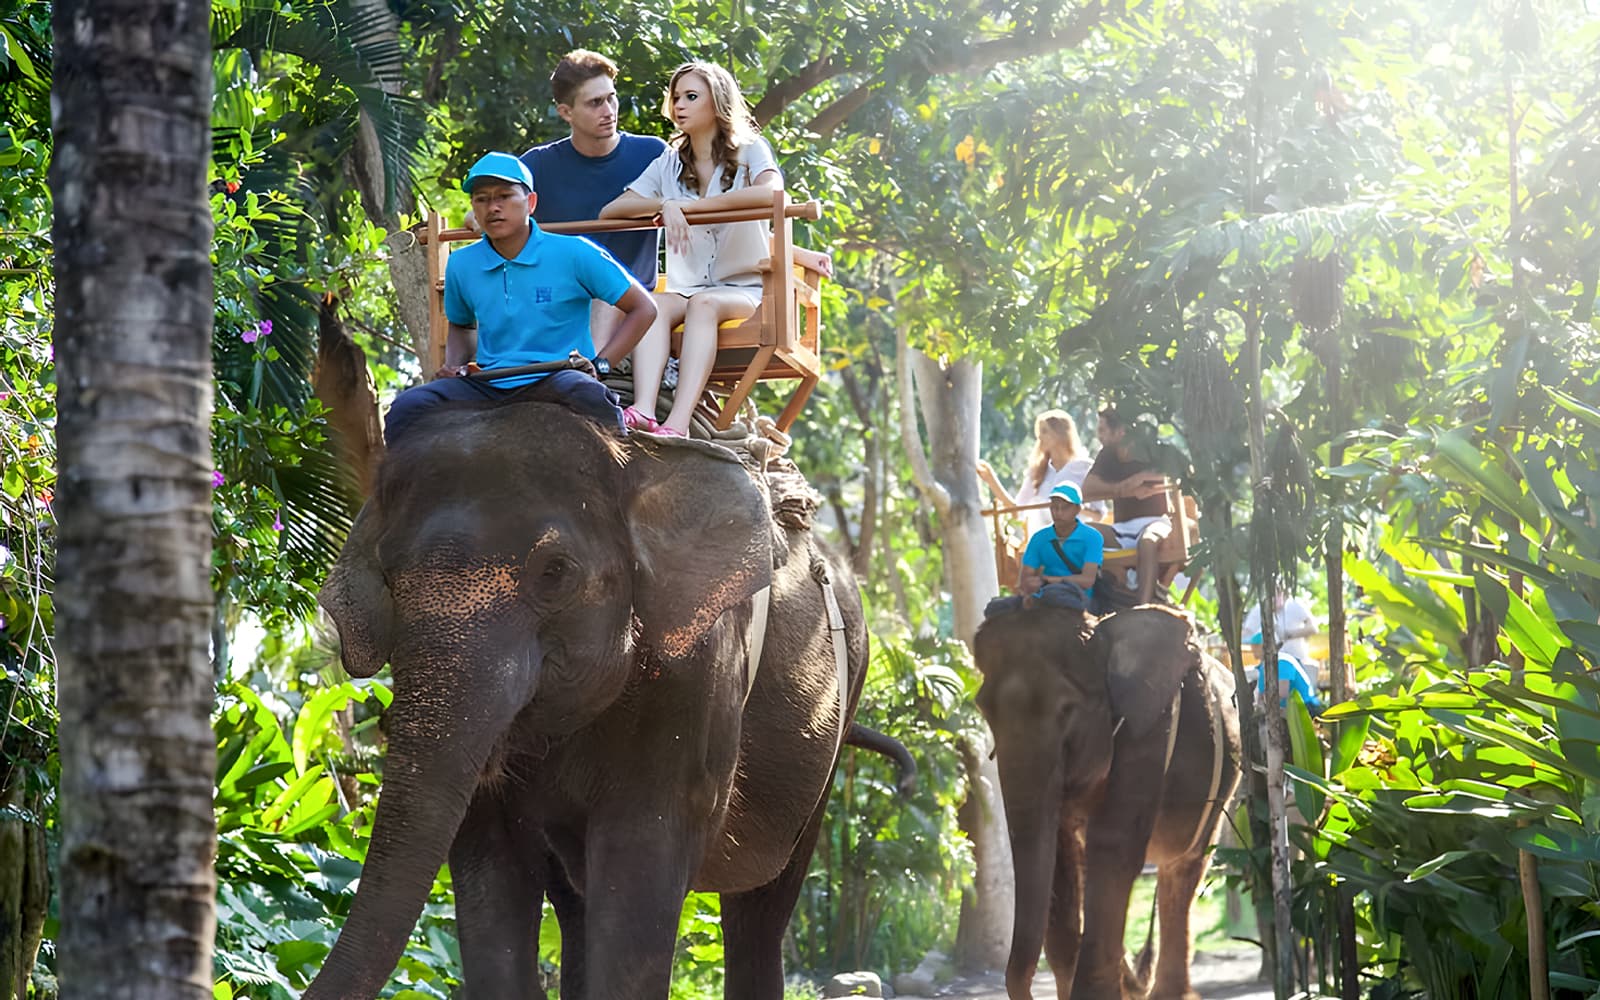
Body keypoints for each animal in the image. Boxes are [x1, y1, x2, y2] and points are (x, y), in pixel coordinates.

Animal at [306, 402, 887, 999]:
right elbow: (491, 876)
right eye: (388, 575)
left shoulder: (698, 673)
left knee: (761, 908)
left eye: (555, 572)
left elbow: (640, 865)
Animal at [973, 605, 1242, 1000]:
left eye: (1068, 710)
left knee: (1181, 871)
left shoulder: (1147, 730)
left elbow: (1112, 847)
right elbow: (1060, 854)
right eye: (984, 709)